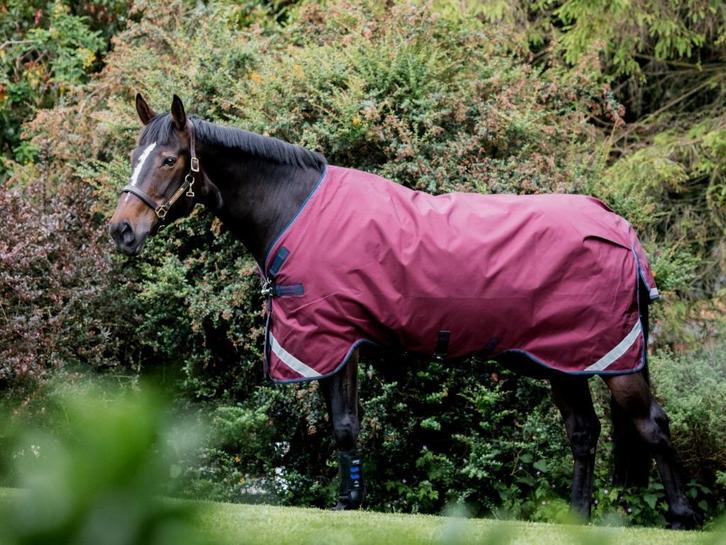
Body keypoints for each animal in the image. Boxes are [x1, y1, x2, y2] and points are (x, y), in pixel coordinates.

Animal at [109, 94, 699, 528]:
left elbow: (345, 426)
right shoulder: (336, 343)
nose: (122, 231)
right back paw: (576, 519)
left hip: (613, 357)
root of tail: (620, 228)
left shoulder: (333, 340)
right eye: (133, 158)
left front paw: (347, 506)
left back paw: (681, 516)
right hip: (565, 358)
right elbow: (345, 425)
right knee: (583, 432)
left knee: (652, 425)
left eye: (168, 160)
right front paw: (350, 501)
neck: (294, 208)